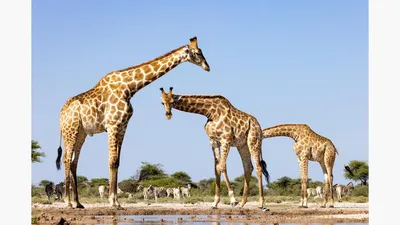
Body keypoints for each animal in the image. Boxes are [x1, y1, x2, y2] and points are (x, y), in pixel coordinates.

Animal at [55, 37, 211, 209]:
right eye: (198, 53)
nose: (207, 67)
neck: (129, 88)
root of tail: (61, 115)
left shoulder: (123, 126)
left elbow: (117, 162)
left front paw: (116, 201)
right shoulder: (112, 125)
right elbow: (111, 161)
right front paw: (113, 202)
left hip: (81, 133)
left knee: (74, 162)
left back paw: (78, 202)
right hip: (71, 130)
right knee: (66, 159)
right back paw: (68, 202)